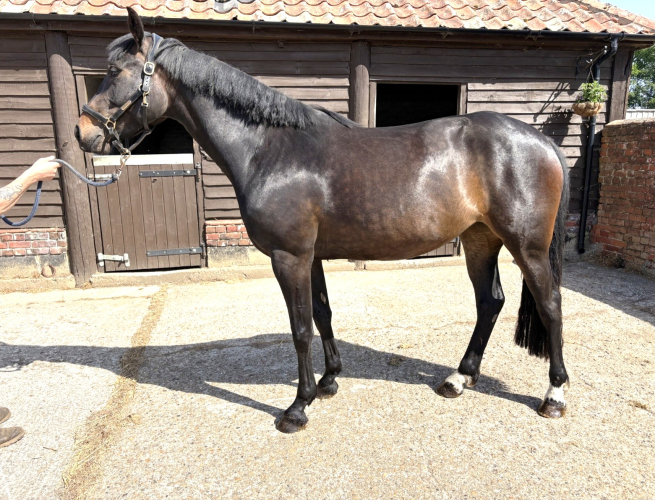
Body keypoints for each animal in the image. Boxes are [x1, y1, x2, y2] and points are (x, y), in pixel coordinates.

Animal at [75, 8, 571, 433]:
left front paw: (298, 406)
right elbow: (322, 314)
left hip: (526, 246)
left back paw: (554, 395)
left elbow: (299, 329)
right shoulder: (309, 256)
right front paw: (329, 381)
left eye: (115, 71)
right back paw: (458, 379)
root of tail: (540, 139)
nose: (84, 133)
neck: (270, 149)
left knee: (550, 305)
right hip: (479, 240)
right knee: (490, 302)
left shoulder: (288, 257)